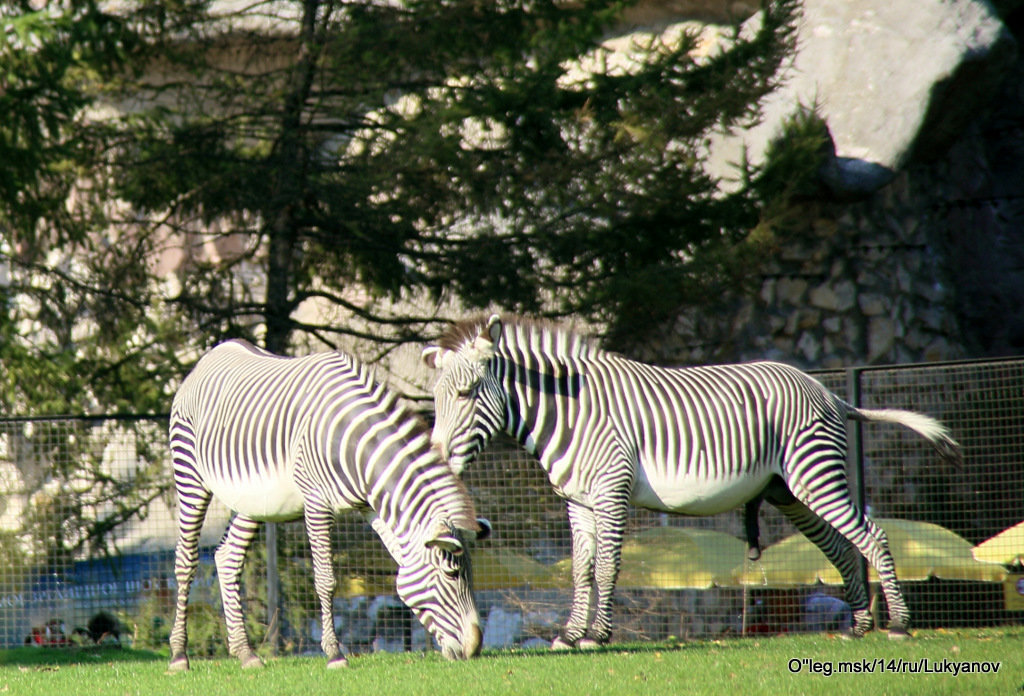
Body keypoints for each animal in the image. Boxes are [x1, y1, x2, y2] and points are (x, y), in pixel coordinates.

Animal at [167, 339, 487, 671]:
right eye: (451, 574)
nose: (474, 648)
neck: (357, 446)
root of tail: (212, 354)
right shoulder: (317, 503)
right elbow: (326, 580)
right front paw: (334, 653)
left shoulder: (370, 505)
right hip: (190, 475)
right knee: (186, 561)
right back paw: (179, 655)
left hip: (254, 499)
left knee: (227, 557)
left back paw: (246, 653)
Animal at [421, 313, 958, 646]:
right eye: (436, 399)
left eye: (467, 394)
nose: (441, 458)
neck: (570, 411)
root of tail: (826, 390)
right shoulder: (579, 501)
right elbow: (581, 569)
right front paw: (570, 635)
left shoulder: (611, 491)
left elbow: (607, 567)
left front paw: (596, 636)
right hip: (789, 491)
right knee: (844, 546)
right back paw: (860, 627)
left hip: (814, 474)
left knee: (874, 535)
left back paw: (898, 625)